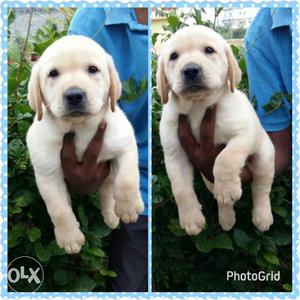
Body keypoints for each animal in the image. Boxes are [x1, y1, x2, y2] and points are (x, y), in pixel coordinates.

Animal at [26, 36, 144, 254]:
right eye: (53, 73)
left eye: (92, 69)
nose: (74, 95)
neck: (80, 128)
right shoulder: (48, 173)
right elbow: (59, 209)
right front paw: (69, 237)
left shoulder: (124, 144)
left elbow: (127, 179)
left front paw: (129, 207)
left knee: (108, 189)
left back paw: (113, 215)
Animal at [158, 25, 276, 236]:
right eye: (173, 56)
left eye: (209, 50)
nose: (190, 70)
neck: (198, 106)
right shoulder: (174, 154)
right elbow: (180, 189)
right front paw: (190, 218)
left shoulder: (243, 134)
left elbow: (225, 158)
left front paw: (228, 188)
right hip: (208, 179)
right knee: (219, 197)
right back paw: (226, 218)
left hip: (265, 157)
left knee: (261, 187)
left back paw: (262, 216)